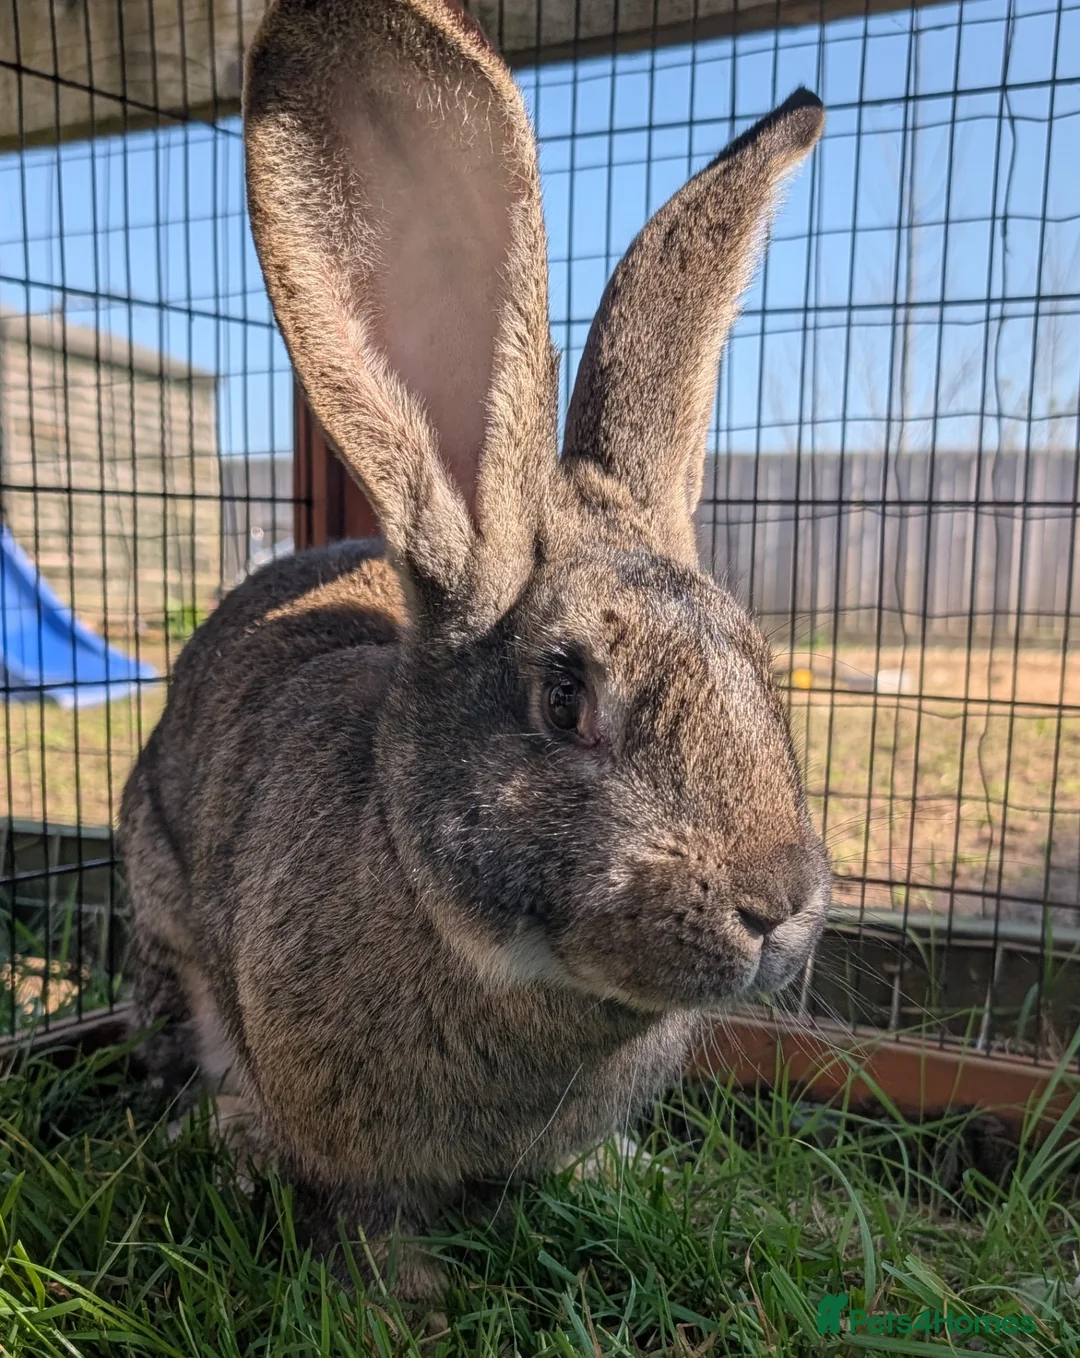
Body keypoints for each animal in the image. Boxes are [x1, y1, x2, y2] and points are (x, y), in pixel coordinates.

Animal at [119, 0, 829, 1307]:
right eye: (564, 697)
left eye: (759, 669)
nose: (780, 904)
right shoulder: (349, 1143)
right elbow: (365, 1220)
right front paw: (407, 1302)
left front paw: (611, 1178)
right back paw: (229, 1135)